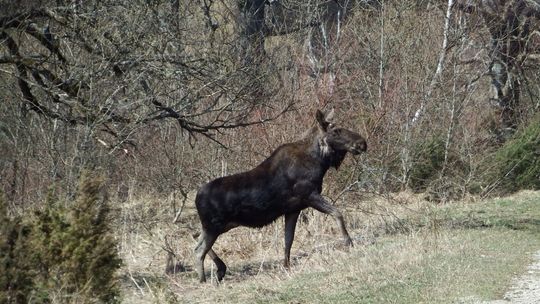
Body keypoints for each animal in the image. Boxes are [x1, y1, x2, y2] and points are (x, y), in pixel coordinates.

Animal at [194, 109, 368, 282]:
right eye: (336, 131)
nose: (362, 143)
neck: (320, 161)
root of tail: (196, 198)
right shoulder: (309, 195)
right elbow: (337, 213)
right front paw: (349, 242)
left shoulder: (293, 209)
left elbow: (288, 240)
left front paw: (286, 266)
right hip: (214, 226)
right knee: (199, 250)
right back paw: (204, 279)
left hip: (220, 225)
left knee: (196, 240)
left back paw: (220, 269)